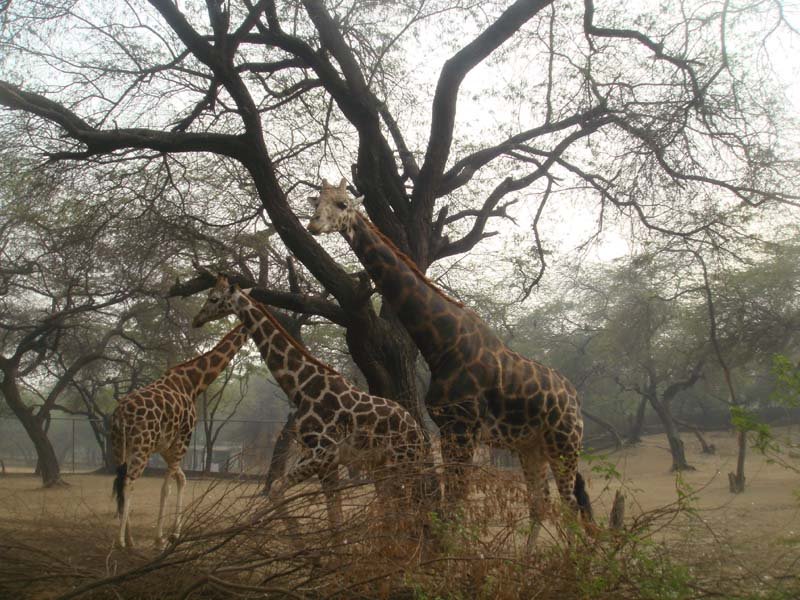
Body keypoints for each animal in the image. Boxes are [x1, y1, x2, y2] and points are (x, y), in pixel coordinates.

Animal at [109, 324, 247, 548]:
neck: (193, 383)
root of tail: (120, 415)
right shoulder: (184, 438)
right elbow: (167, 488)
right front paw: (160, 538)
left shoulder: (166, 446)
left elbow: (181, 479)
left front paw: (175, 533)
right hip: (142, 447)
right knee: (129, 482)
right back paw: (122, 541)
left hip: (119, 445)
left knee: (120, 481)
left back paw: (129, 538)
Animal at [191, 274, 438, 528]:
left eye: (213, 298)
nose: (196, 319)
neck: (301, 388)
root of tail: (418, 433)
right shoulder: (322, 459)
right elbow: (333, 516)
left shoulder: (324, 452)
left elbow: (277, 489)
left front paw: (297, 534)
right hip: (383, 466)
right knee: (397, 507)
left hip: (401, 462)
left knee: (407, 508)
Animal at [306, 178, 592, 544]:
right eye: (317, 201)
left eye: (342, 204)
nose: (314, 225)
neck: (442, 343)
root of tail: (574, 396)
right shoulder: (447, 427)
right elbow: (450, 503)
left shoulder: (464, 428)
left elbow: (456, 503)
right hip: (531, 446)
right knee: (541, 503)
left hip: (564, 442)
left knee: (570, 504)